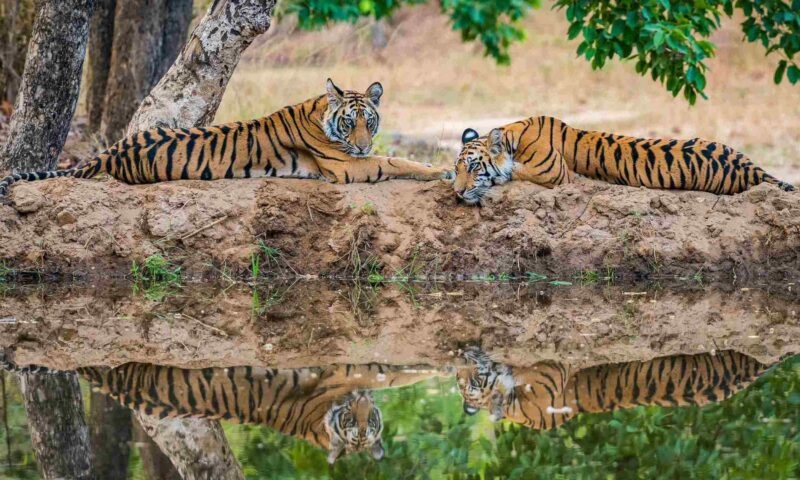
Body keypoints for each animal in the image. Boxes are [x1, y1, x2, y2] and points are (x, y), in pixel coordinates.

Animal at [0, 79, 452, 199]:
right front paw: (442, 170)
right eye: (349, 123)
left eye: (369, 122)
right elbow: (394, 161)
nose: (361, 144)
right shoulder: (344, 167)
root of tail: (113, 150)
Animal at [0, 351, 443, 464]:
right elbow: (400, 372)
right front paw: (440, 369)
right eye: (353, 423)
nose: (365, 407)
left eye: (372, 424)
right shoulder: (345, 371)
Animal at [453, 116, 795, 204]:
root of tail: (754, 169)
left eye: (474, 167)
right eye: (457, 169)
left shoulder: (553, 174)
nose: (457, 192)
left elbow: (513, 173)